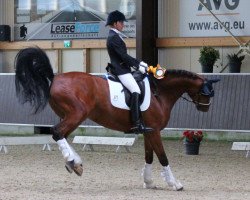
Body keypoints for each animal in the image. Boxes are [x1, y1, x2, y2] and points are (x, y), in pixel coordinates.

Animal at [15, 47, 219, 191]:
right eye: (206, 93)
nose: (205, 108)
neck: (159, 92)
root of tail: (54, 78)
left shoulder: (149, 131)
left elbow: (149, 156)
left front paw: (148, 182)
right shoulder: (154, 130)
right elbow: (162, 157)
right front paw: (174, 183)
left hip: (72, 116)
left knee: (62, 135)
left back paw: (75, 163)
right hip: (77, 114)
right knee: (57, 132)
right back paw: (74, 162)